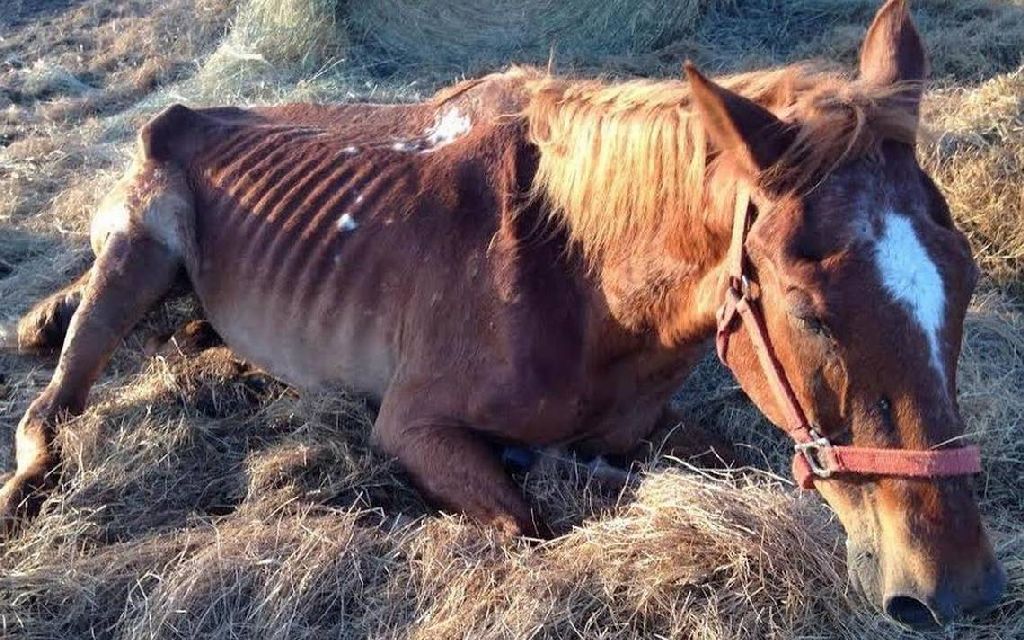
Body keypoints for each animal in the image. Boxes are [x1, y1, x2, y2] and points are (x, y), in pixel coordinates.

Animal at [2, 0, 1007, 630]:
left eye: (962, 281)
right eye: (808, 309)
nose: (956, 589)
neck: (580, 284)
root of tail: (181, 113)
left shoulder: (653, 424)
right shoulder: (416, 430)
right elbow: (530, 525)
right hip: (137, 253)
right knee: (53, 406)